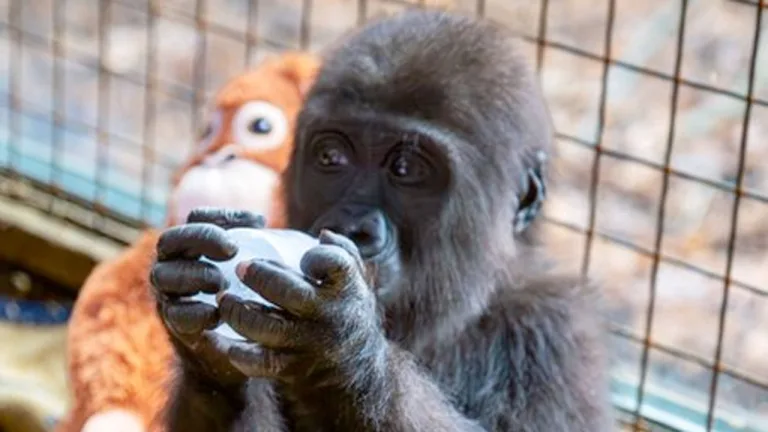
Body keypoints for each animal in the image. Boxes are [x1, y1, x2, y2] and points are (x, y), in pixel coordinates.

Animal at [150, 7, 612, 432]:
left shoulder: (554, 334)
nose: (353, 228)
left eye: (406, 169)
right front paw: (204, 357)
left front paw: (341, 350)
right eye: (331, 157)